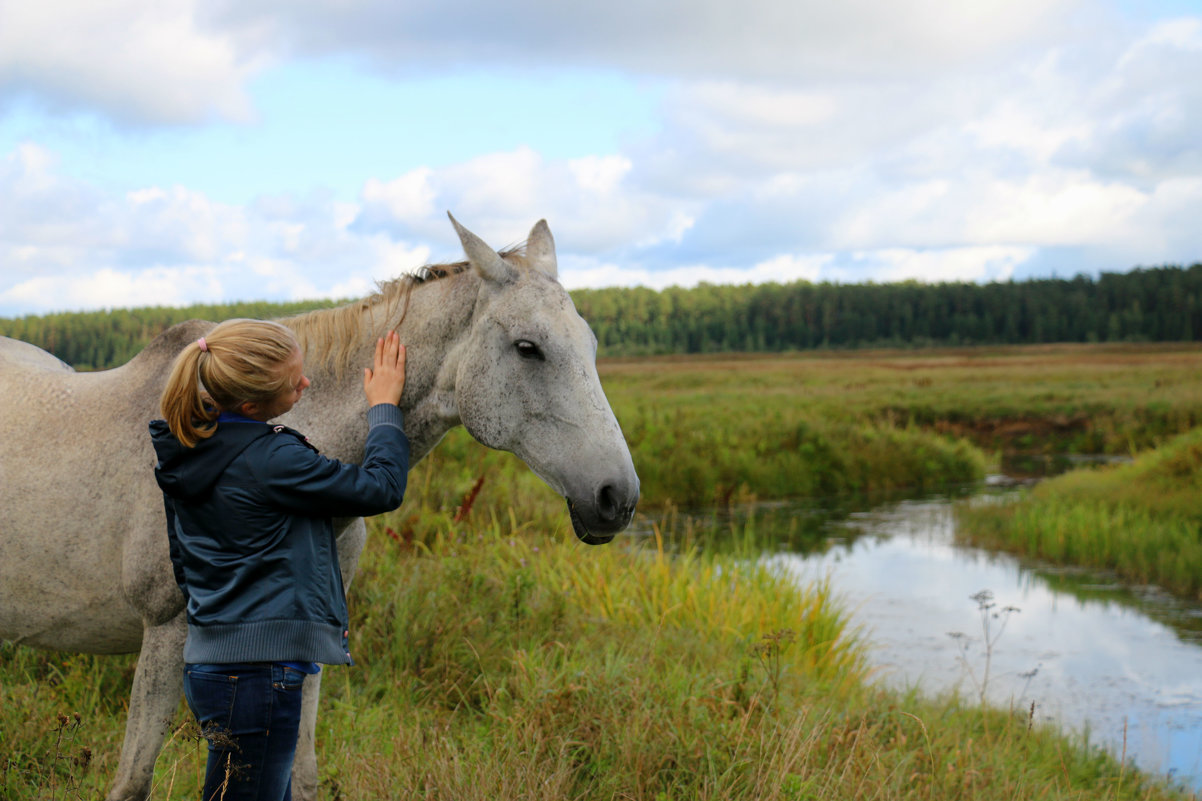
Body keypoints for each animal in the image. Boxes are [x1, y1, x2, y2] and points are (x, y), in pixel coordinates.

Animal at [0, 215, 639, 798]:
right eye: (528, 349)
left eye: (592, 345)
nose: (618, 498)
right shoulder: (164, 631)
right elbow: (133, 781)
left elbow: (301, 777)